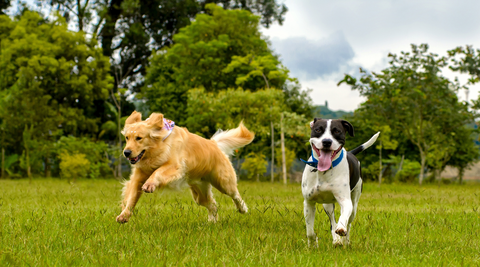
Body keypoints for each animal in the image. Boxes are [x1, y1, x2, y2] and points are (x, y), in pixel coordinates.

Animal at [302, 119, 380, 247]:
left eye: (337, 131)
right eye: (318, 129)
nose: (327, 141)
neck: (324, 171)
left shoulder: (345, 201)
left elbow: (343, 219)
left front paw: (341, 229)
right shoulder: (309, 202)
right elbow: (310, 231)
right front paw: (312, 244)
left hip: (354, 204)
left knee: (349, 222)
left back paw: (345, 241)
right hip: (327, 205)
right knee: (332, 222)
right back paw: (336, 240)